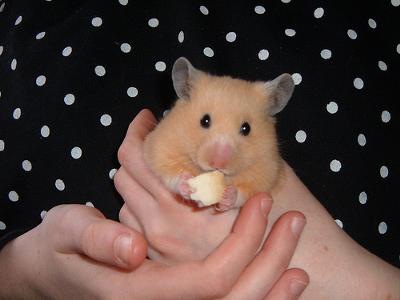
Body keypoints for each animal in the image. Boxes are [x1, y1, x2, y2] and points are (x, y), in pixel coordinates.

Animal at [144, 56, 294, 211]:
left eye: (246, 128)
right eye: (204, 120)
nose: (218, 164)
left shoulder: (268, 171)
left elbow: (246, 193)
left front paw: (228, 196)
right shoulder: (160, 147)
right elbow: (170, 173)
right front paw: (186, 183)